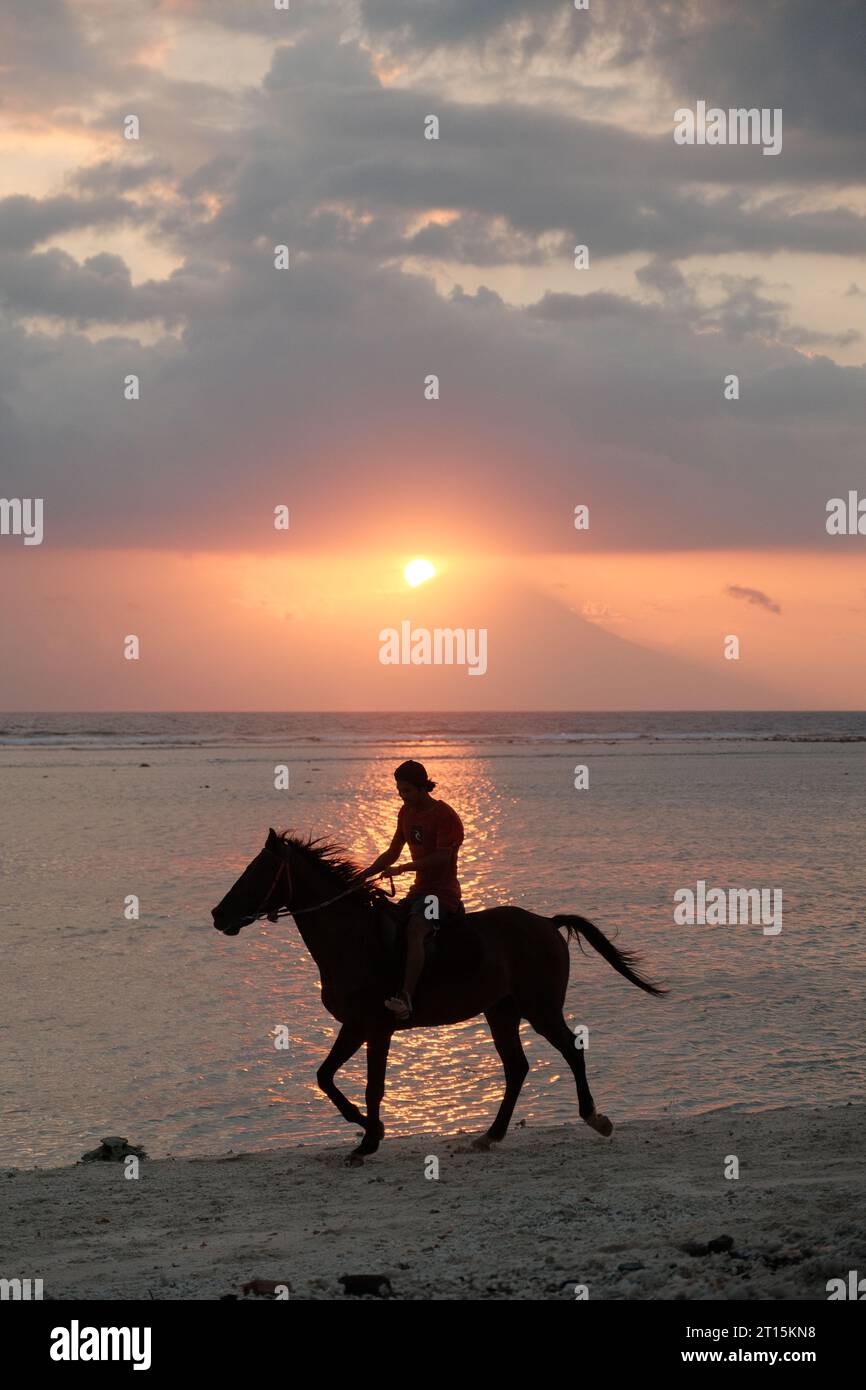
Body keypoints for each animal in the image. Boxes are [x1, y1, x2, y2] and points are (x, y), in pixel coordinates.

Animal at [211, 822, 664, 1162]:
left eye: (256, 872)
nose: (218, 915)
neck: (353, 937)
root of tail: (547, 923)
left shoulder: (376, 1028)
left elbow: (372, 1086)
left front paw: (369, 1140)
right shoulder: (355, 1026)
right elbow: (325, 1077)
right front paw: (368, 1127)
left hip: (541, 1008)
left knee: (571, 1050)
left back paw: (595, 1118)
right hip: (501, 1011)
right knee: (516, 1067)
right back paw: (490, 1135)